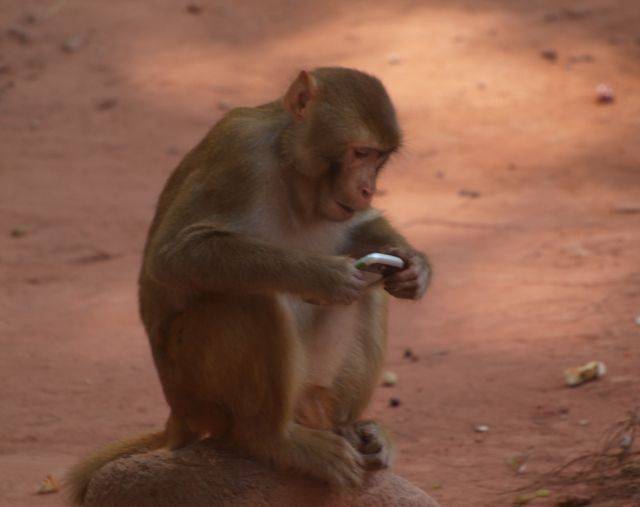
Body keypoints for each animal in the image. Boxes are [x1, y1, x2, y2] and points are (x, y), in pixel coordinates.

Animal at [66, 66, 430, 504]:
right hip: (195, 386)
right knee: (248, 297)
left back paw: (352, 430)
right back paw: (272, 440)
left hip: (306, 392)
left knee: (369, 295)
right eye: (360, 153)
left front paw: (414, 268)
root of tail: (178, 413)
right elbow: (173, 255)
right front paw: (324, 276)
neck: (292, 173)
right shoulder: (241, 152)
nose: (367, 189)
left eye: (380, 158)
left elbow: (361, 231)